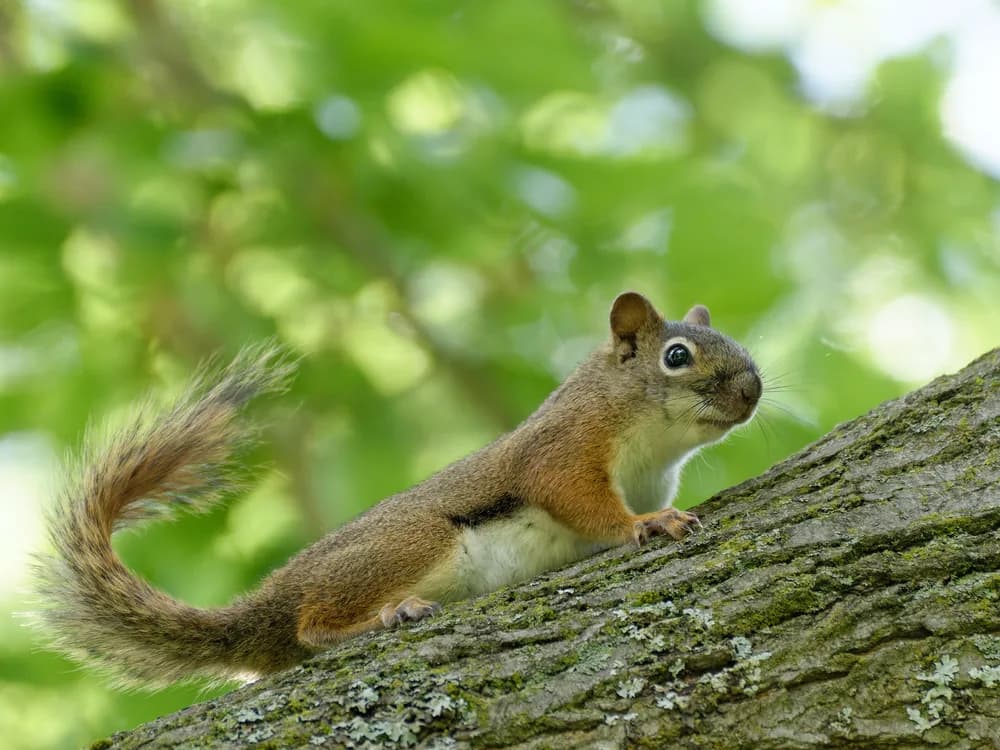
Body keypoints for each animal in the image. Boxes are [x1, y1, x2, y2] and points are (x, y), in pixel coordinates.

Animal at [32, 292, 761, 687]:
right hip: (411, 543)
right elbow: (577, 500)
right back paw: (386, 615)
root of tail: (267, 605)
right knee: (311, 627)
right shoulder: (563, 449)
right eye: (676, 356)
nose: (753, 390)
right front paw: (645, 526)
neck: (649, 442)